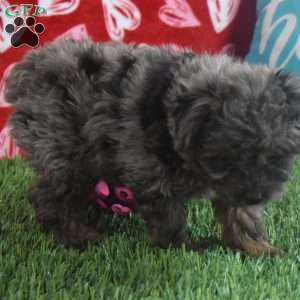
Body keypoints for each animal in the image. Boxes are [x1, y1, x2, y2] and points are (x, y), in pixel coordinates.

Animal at [4, 39, 300, 255]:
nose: (257, 195)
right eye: (228, 156)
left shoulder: (232, 188)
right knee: (52, 195)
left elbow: (240, 214)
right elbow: (169, 215)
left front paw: (256, 247)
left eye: (277, 156)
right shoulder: (152, 171)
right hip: (67, 150)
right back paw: (75, 235)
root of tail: (28, 72)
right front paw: (182, 247)